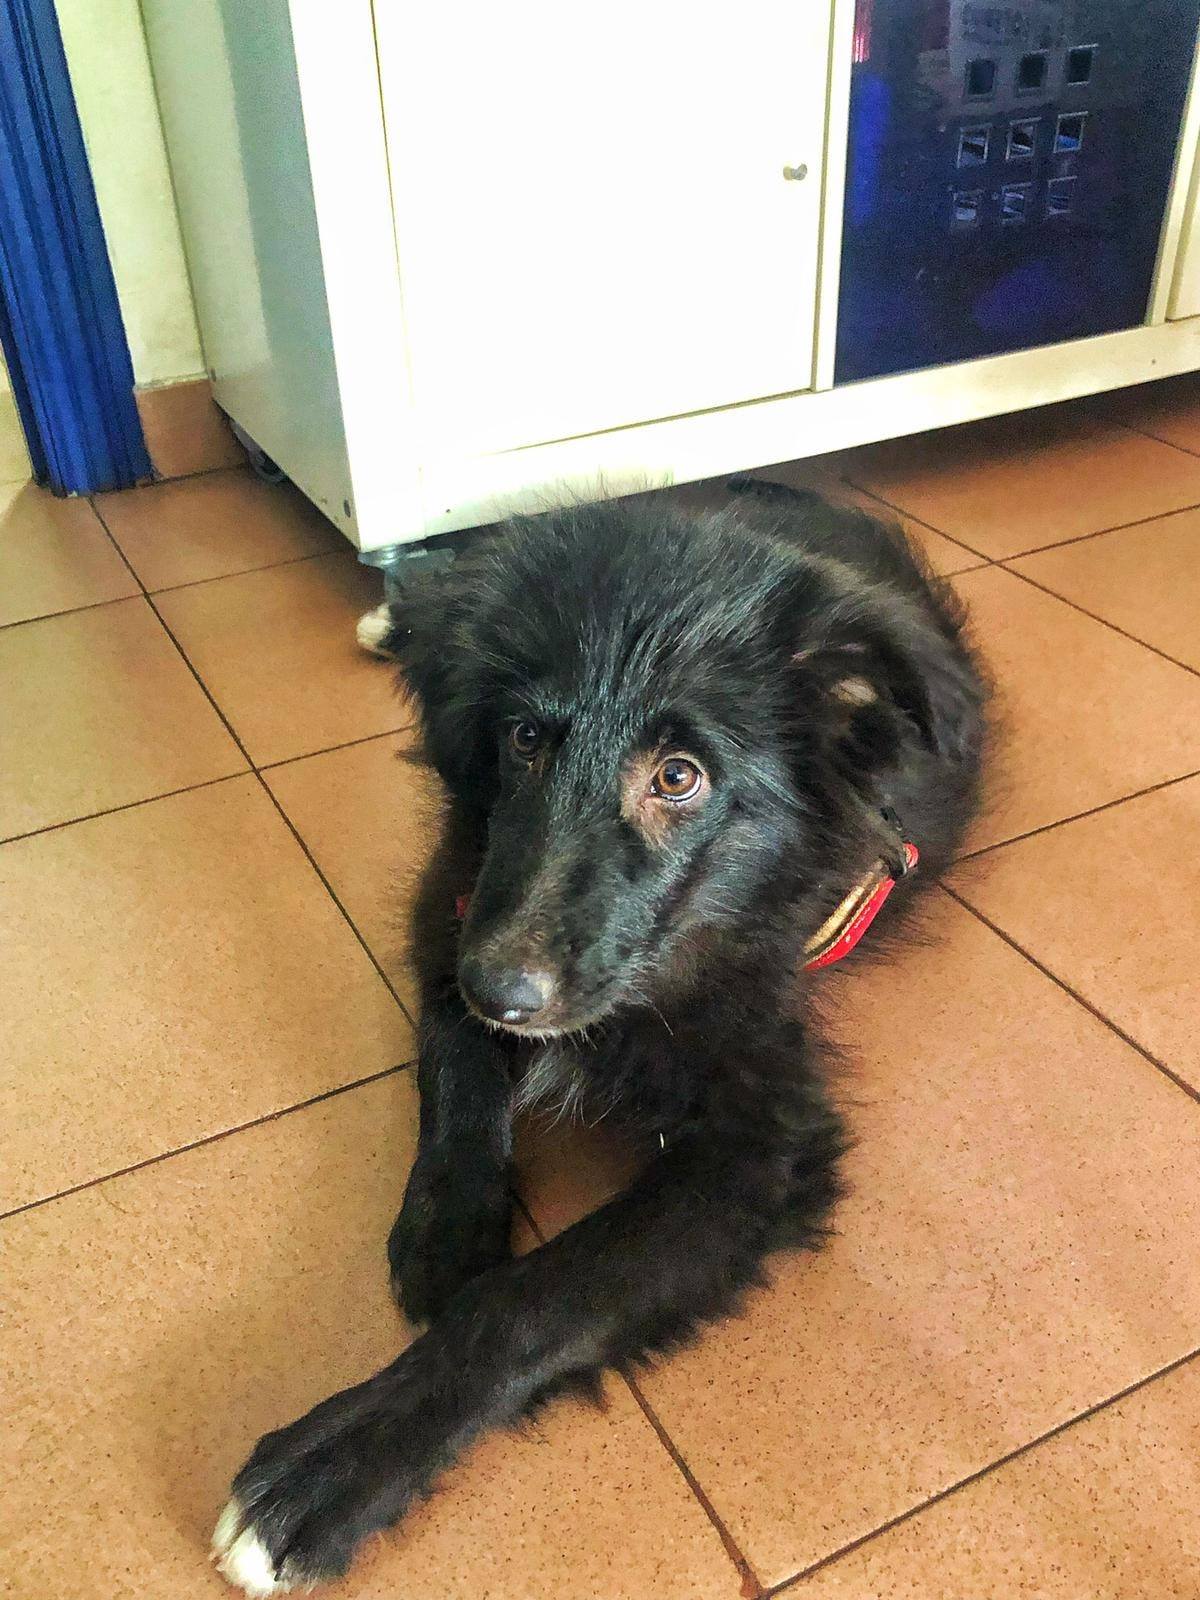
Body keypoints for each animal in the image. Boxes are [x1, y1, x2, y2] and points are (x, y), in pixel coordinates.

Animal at [212, 480, 988, 1594]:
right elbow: (456, 1078)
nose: (502, 989)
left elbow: (540, 1297)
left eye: (679, 777)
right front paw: (449, 1226)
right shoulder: (454, 908)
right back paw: (401, 611)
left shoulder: (758, 1144)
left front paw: (331, 1467)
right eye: (524, 741)